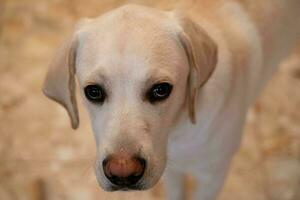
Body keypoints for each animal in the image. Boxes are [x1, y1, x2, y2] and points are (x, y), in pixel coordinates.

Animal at [42, 0, 300, 199]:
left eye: (161, 90)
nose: (122, 173)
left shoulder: (212, 177)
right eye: (93, 92)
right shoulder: (170, 170)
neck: (177, 132)